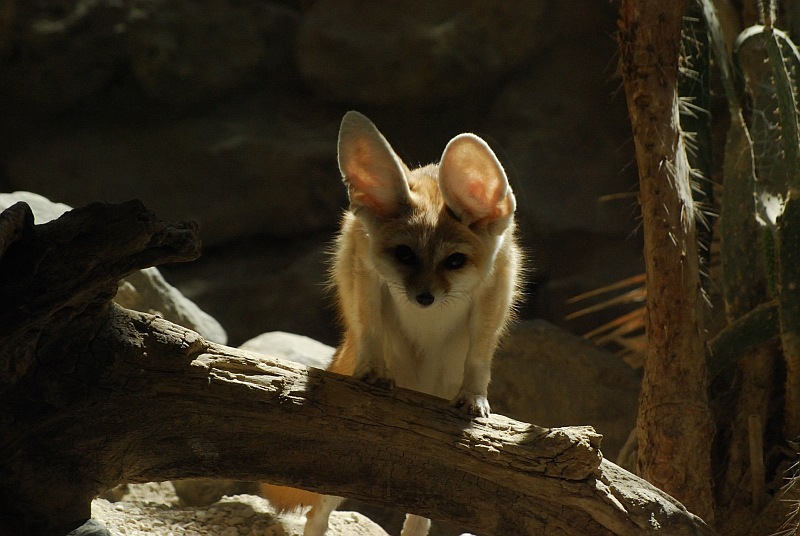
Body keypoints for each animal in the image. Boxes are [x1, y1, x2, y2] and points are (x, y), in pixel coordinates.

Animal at [262, 111, 522, 536]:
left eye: (454, 262)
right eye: (404, 255)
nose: (424, 298)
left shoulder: (495, 290)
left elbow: (479, 356)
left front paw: (474, 396)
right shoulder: (364, 268)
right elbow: (370, 328)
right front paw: (373, 372)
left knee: (417, 516)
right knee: (317, 514)